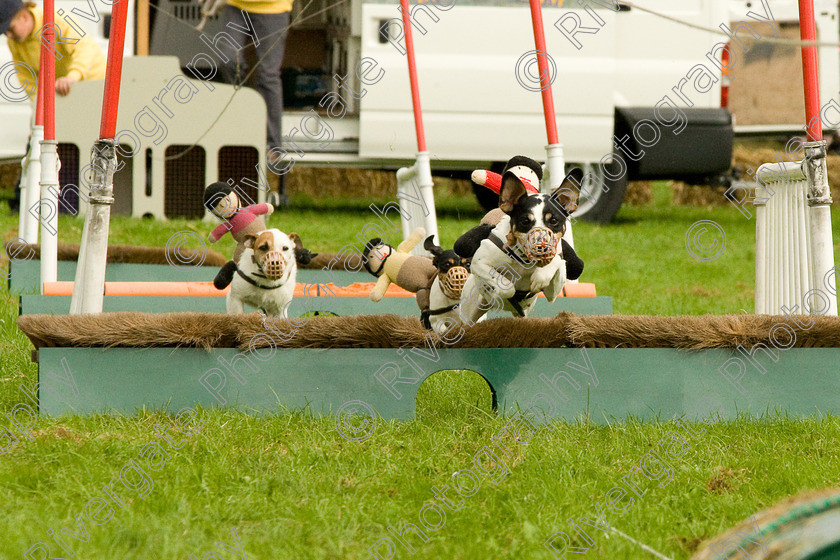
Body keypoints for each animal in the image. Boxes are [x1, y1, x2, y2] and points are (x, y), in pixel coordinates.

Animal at [452, 158, 584, 324]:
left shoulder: (552, 293)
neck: (523, 259)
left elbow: (558, 263)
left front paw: (540, 276)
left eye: (553, 220)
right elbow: (507, 288)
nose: (541, 247)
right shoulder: (479, 263)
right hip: (468, 314)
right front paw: (499, 292)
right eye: (525, 221)